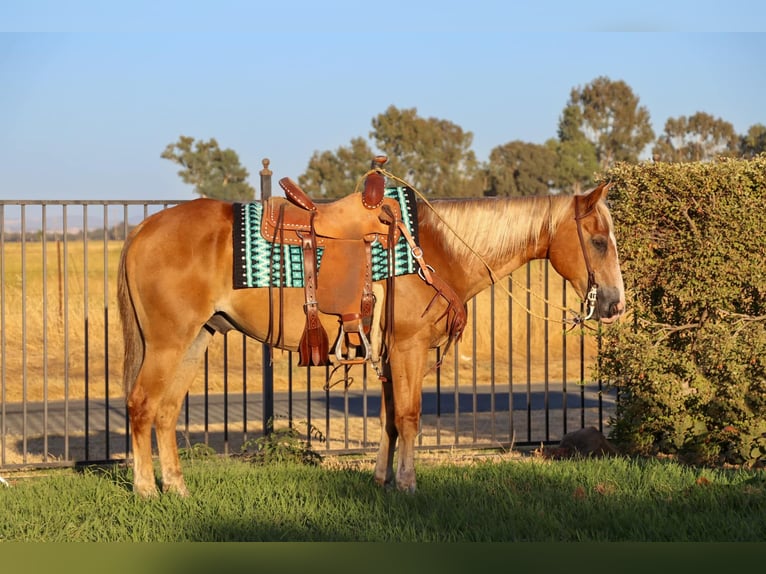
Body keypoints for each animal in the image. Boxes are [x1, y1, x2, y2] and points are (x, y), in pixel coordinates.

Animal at [118, 182, 624, 498]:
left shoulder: (387, 353)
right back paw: (145, 489)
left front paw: (382, 480)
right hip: (168, 342)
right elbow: (410, 417)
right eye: (599, 241)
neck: (436, 251)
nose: (615, 303)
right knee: (142, 405)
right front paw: (408, 484)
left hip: (197, 339)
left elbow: (389, 421)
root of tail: (142, 229)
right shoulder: (408, 349)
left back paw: (177, 487)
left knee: (165, 412)